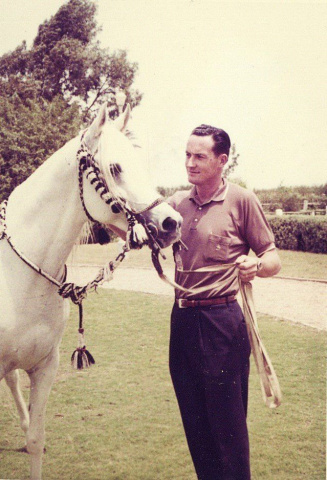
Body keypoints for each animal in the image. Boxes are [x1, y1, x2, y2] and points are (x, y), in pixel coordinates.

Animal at [0, 103, 182, 478]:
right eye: (115, 168)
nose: (172, 223)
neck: (19, 278)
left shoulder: (45, 366)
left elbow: (37, 440)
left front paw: (30, 438)